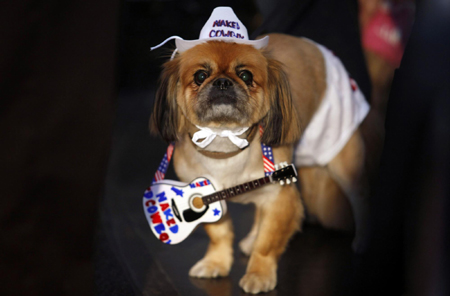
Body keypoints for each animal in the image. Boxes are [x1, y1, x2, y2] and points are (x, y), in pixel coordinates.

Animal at [150, 6, 372, 294]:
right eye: (200, 76)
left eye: (246, 76)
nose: (223, 82)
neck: (224, 141)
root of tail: (314, 47)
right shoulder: (206, 197)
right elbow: (220, 235)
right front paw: (215, 263)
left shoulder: (281, 197)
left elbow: (269, 242)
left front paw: (259, 274)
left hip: (341, 156)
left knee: (362, 198)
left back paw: (364, 239)